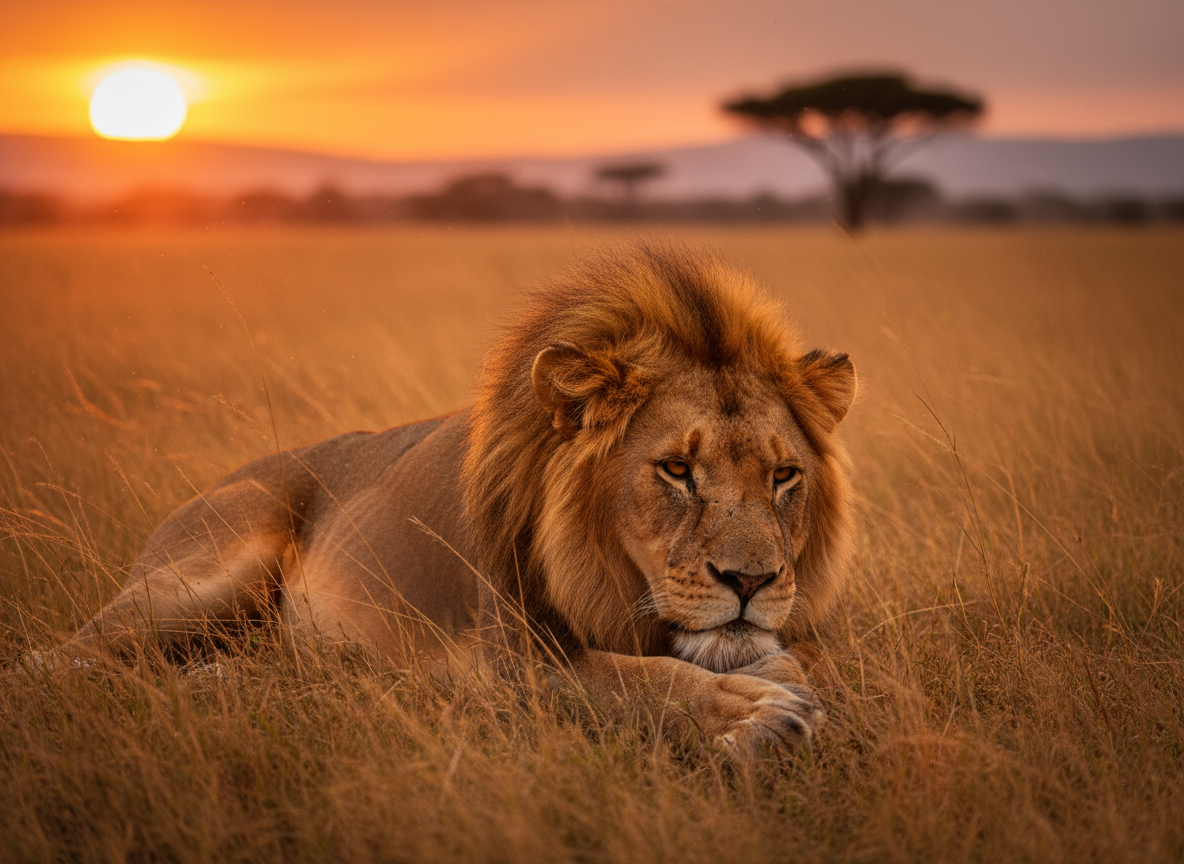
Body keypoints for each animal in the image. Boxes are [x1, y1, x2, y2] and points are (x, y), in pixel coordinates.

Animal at [63, 243, 857, 758]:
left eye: (784, 476)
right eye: (677, 470)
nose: (751, 581)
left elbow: (805, 659)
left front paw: (779, 675)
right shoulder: (508, 665)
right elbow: (634, 680)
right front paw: (754, 713)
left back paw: (224, 678)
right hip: (207, 575)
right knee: (68, 657)